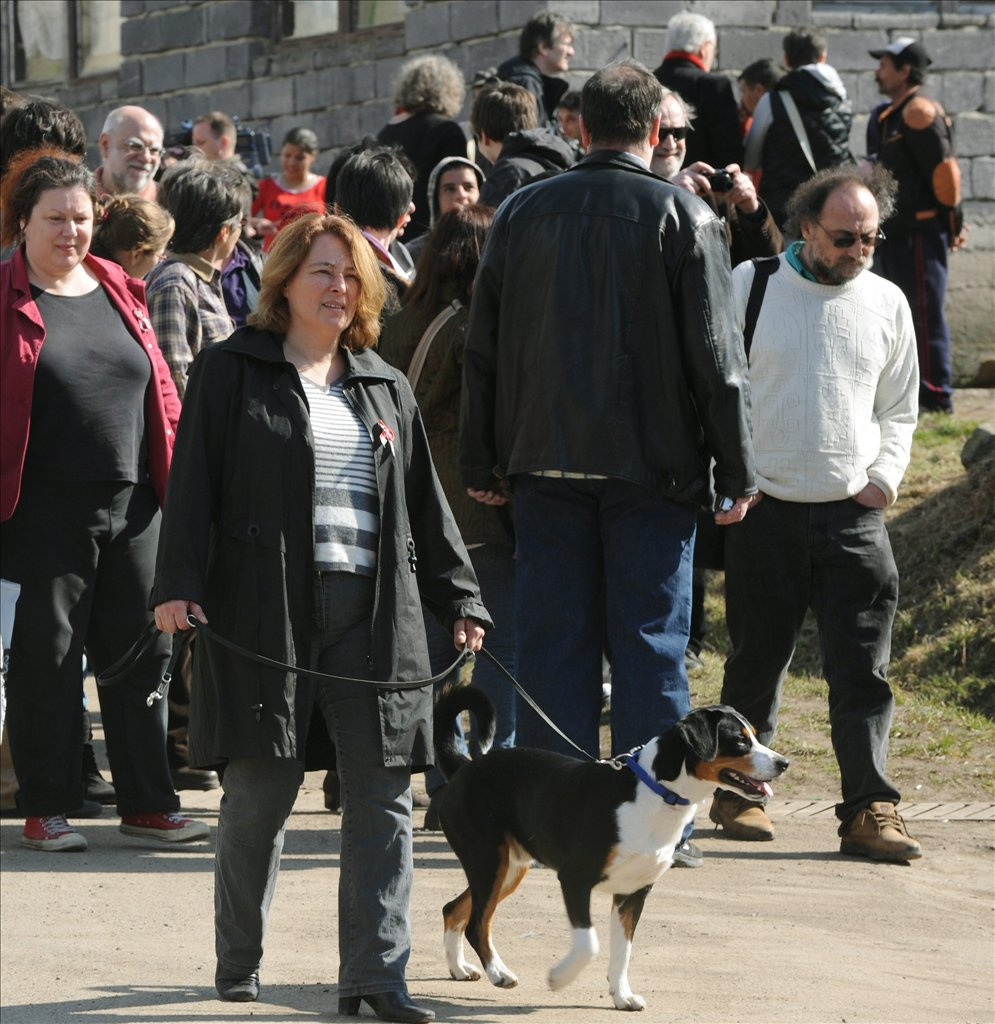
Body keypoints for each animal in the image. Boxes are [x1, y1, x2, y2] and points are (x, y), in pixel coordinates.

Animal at [431, 684, 790, 1011]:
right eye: (740, 741)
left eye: (755, 735)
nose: (783, 762)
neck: (657, 794)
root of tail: (464, 766)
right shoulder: (575, 880)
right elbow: (589, 944)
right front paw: (559, 977)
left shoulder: (633, 892)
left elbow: (622, 951)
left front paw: (622, 996)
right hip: (489, 862)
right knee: (477, 923)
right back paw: (499, 973)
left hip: (509, 869)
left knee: (454, 909)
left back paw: (458, 968)